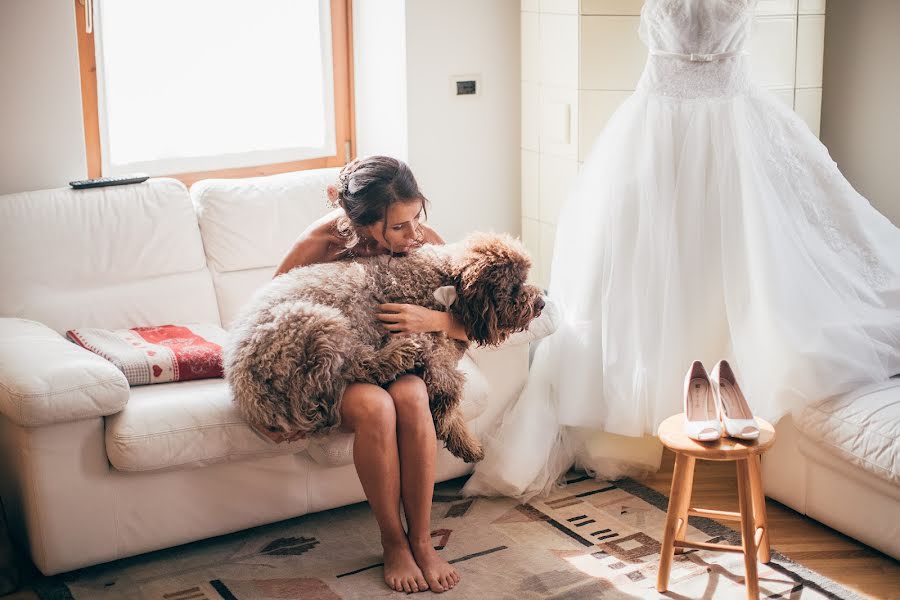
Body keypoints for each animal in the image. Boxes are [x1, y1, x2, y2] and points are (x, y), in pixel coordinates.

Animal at [229, 232, 544, 462]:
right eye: (514, 285)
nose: (541, 302)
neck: (443, 281)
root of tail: (244, 388)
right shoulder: (427, 342)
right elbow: (450, 387)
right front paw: (458, 434)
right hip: (318, 321)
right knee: (358, 364)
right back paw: (402, 354)